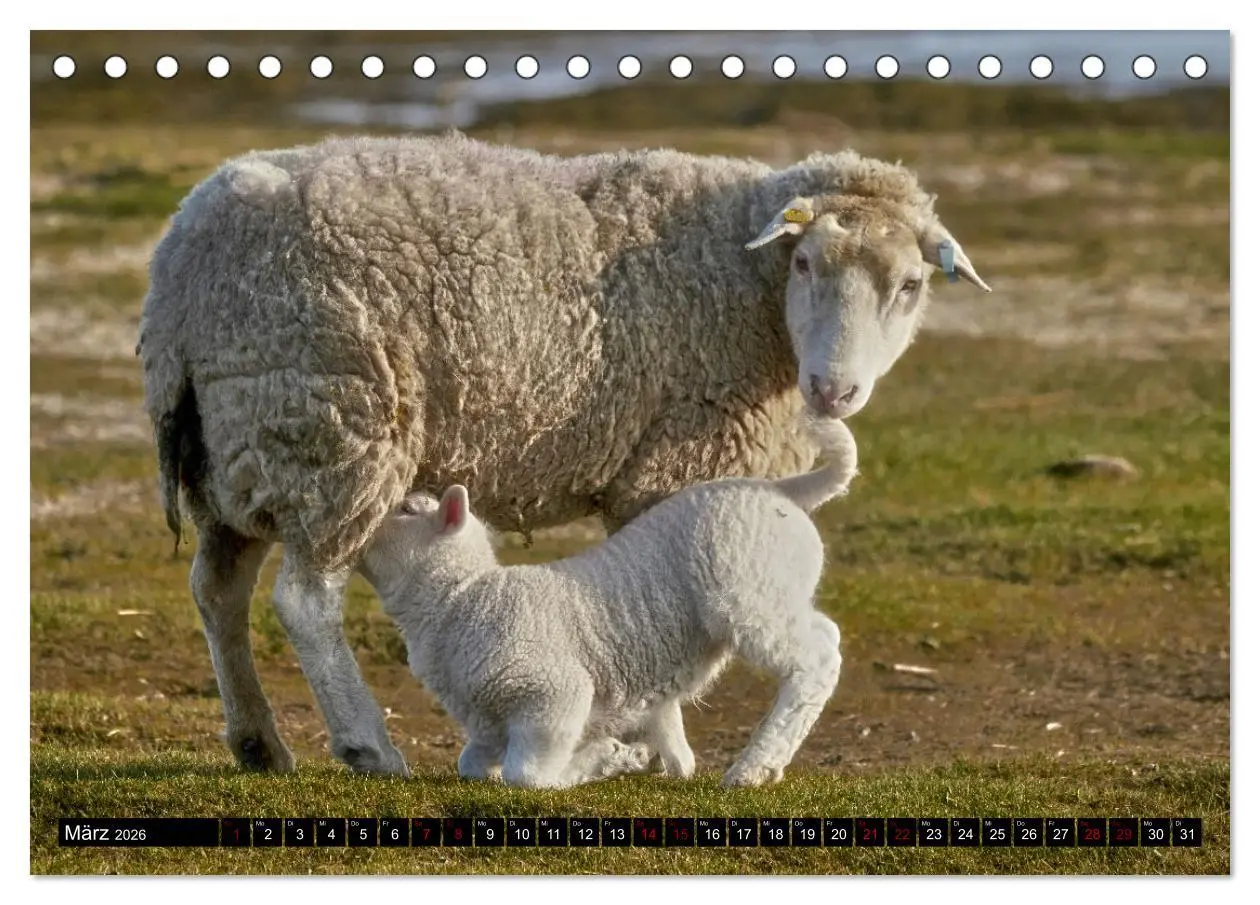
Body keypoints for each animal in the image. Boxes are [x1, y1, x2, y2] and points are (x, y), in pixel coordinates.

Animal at [357, 415, 860, 789]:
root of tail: (781, 491)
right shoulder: (486, 723)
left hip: (749, 591)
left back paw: (754, 767)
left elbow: (528, 774)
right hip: (772, 589)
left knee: (816, 658)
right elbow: (471, 764)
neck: (457, 601)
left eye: (405, 511)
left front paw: (610, 758)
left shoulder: (554, 693)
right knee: (823, 635)